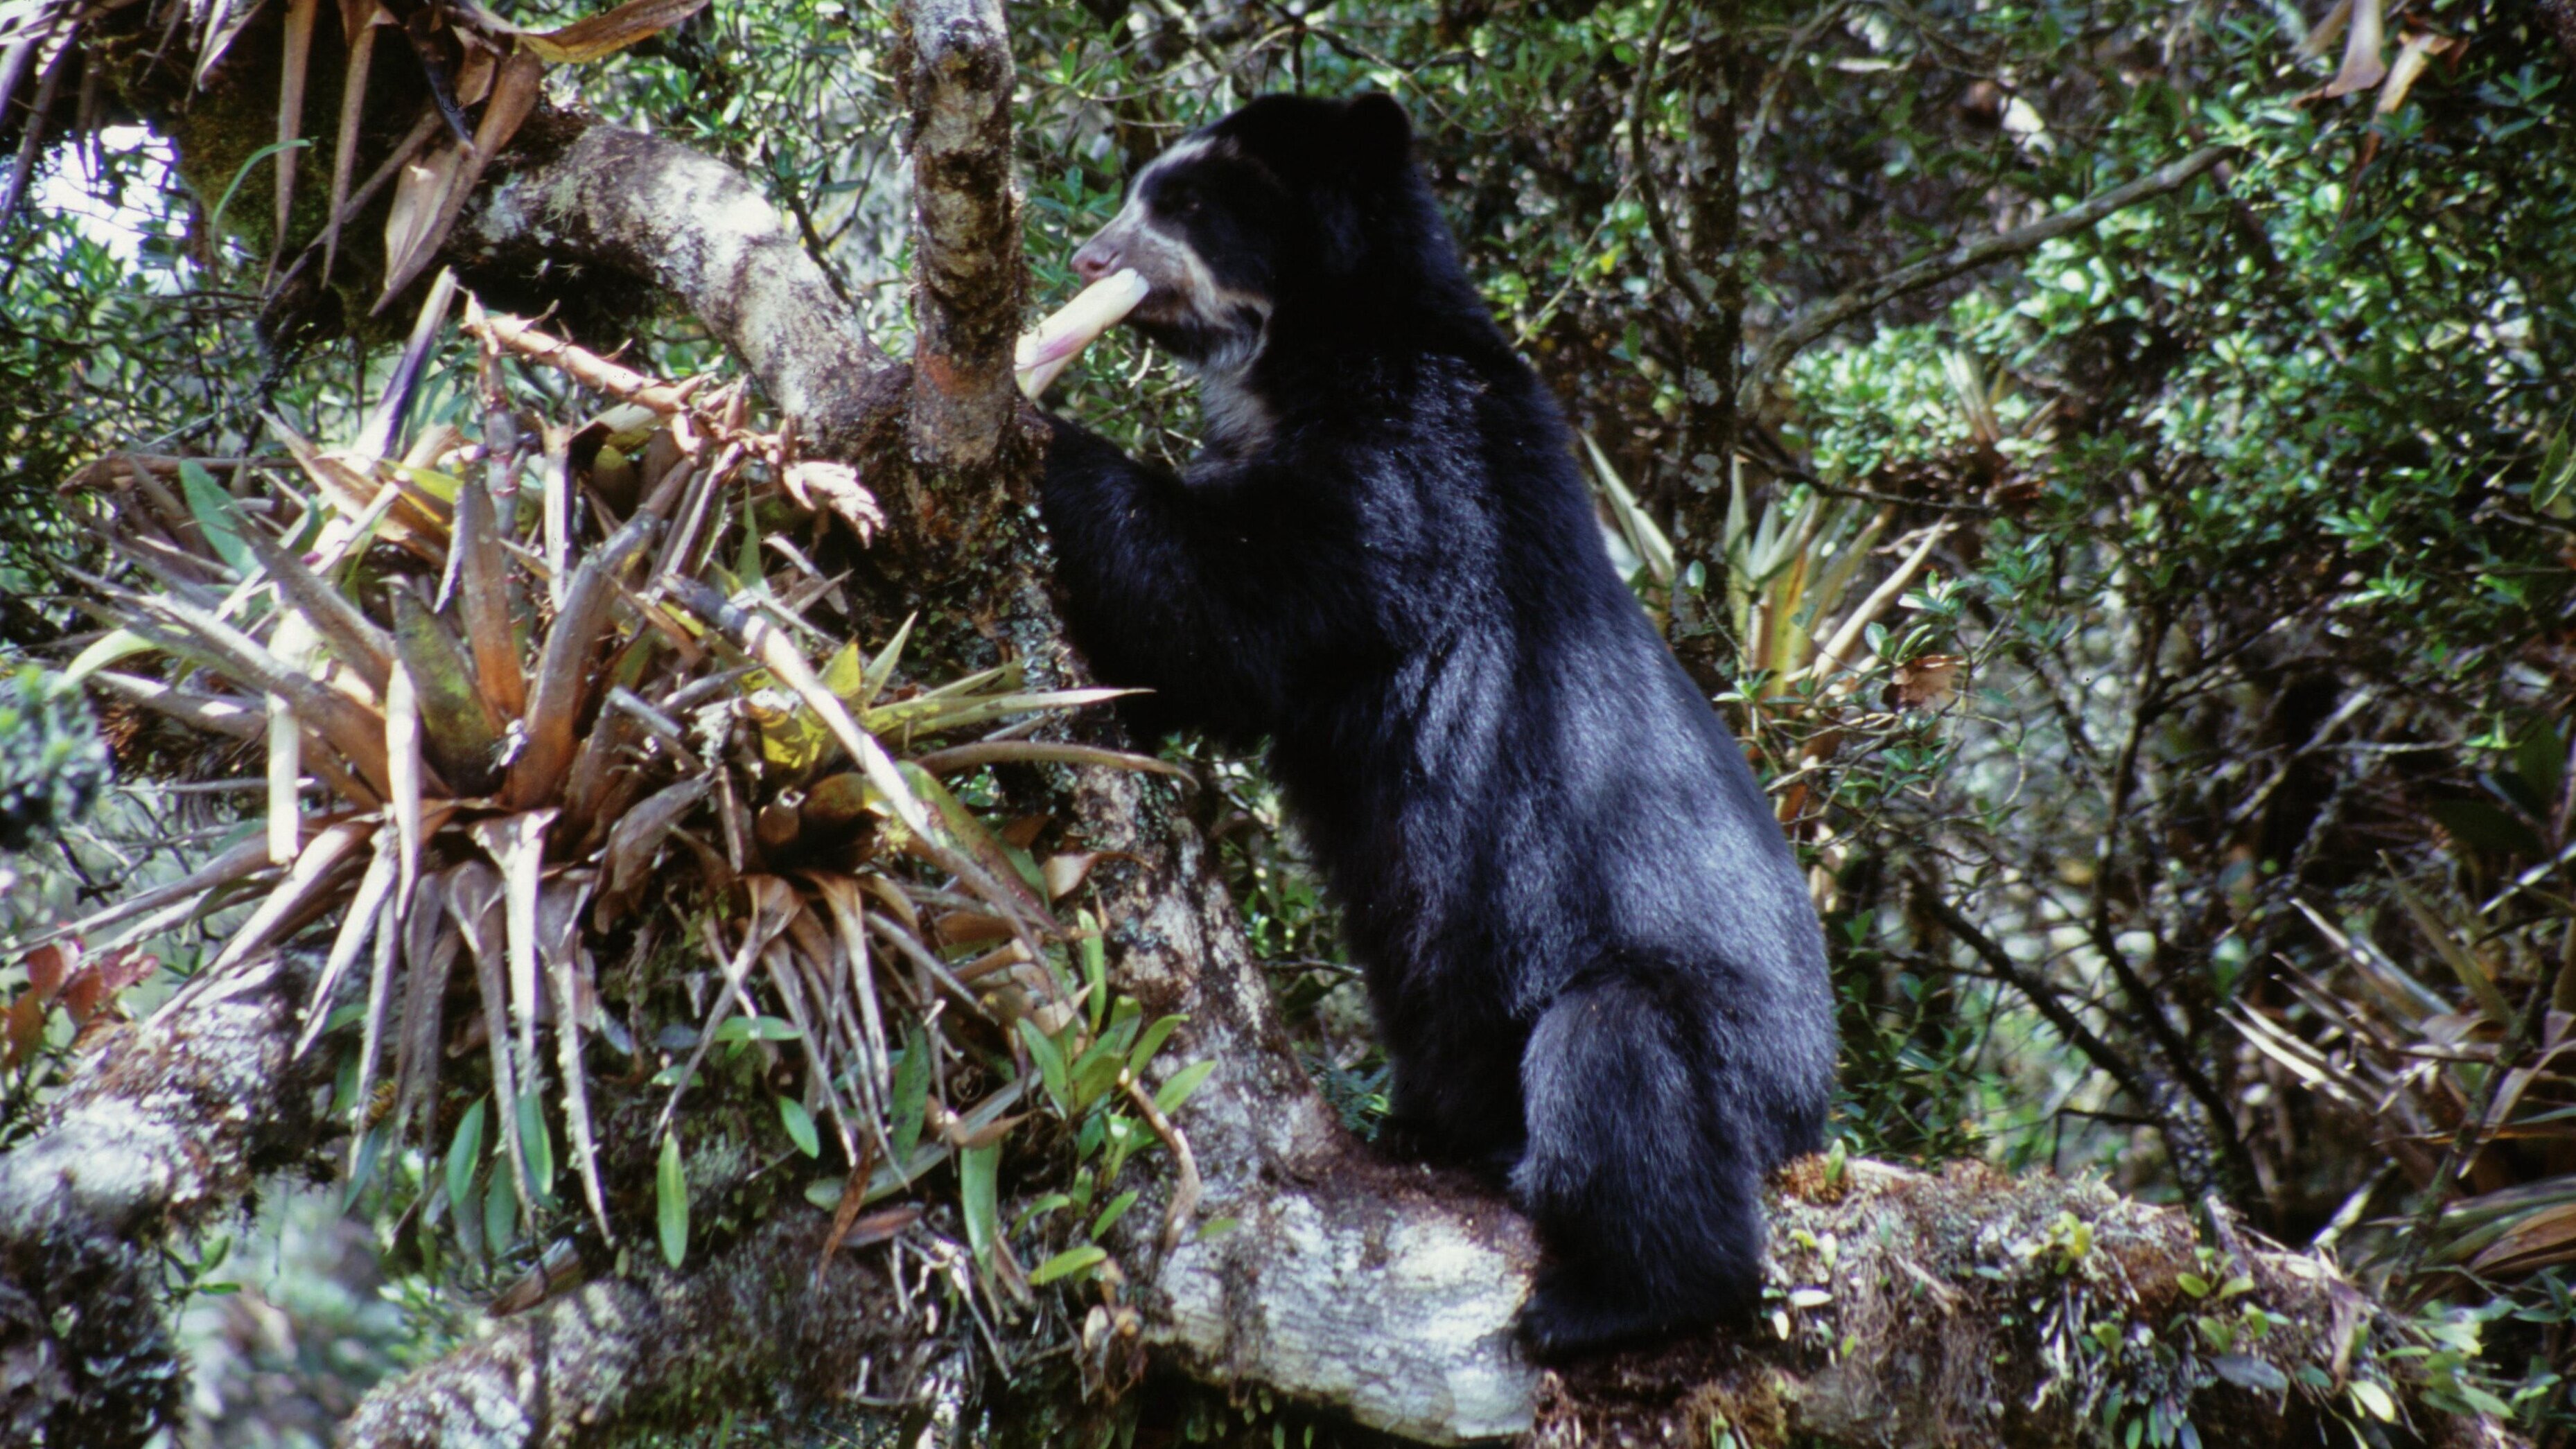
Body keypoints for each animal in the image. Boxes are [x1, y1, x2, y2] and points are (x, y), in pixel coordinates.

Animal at [1035, 93, 1844, 1359]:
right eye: (1138, 191)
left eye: (1187, 204)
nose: (1085, 261)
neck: (1308, 350)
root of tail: (1814, 1108)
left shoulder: (1409, 477)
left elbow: (1235, 606)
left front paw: (1034, 418)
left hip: (1701, 1034)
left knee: (1616, 1064)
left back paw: (1601, 1301)